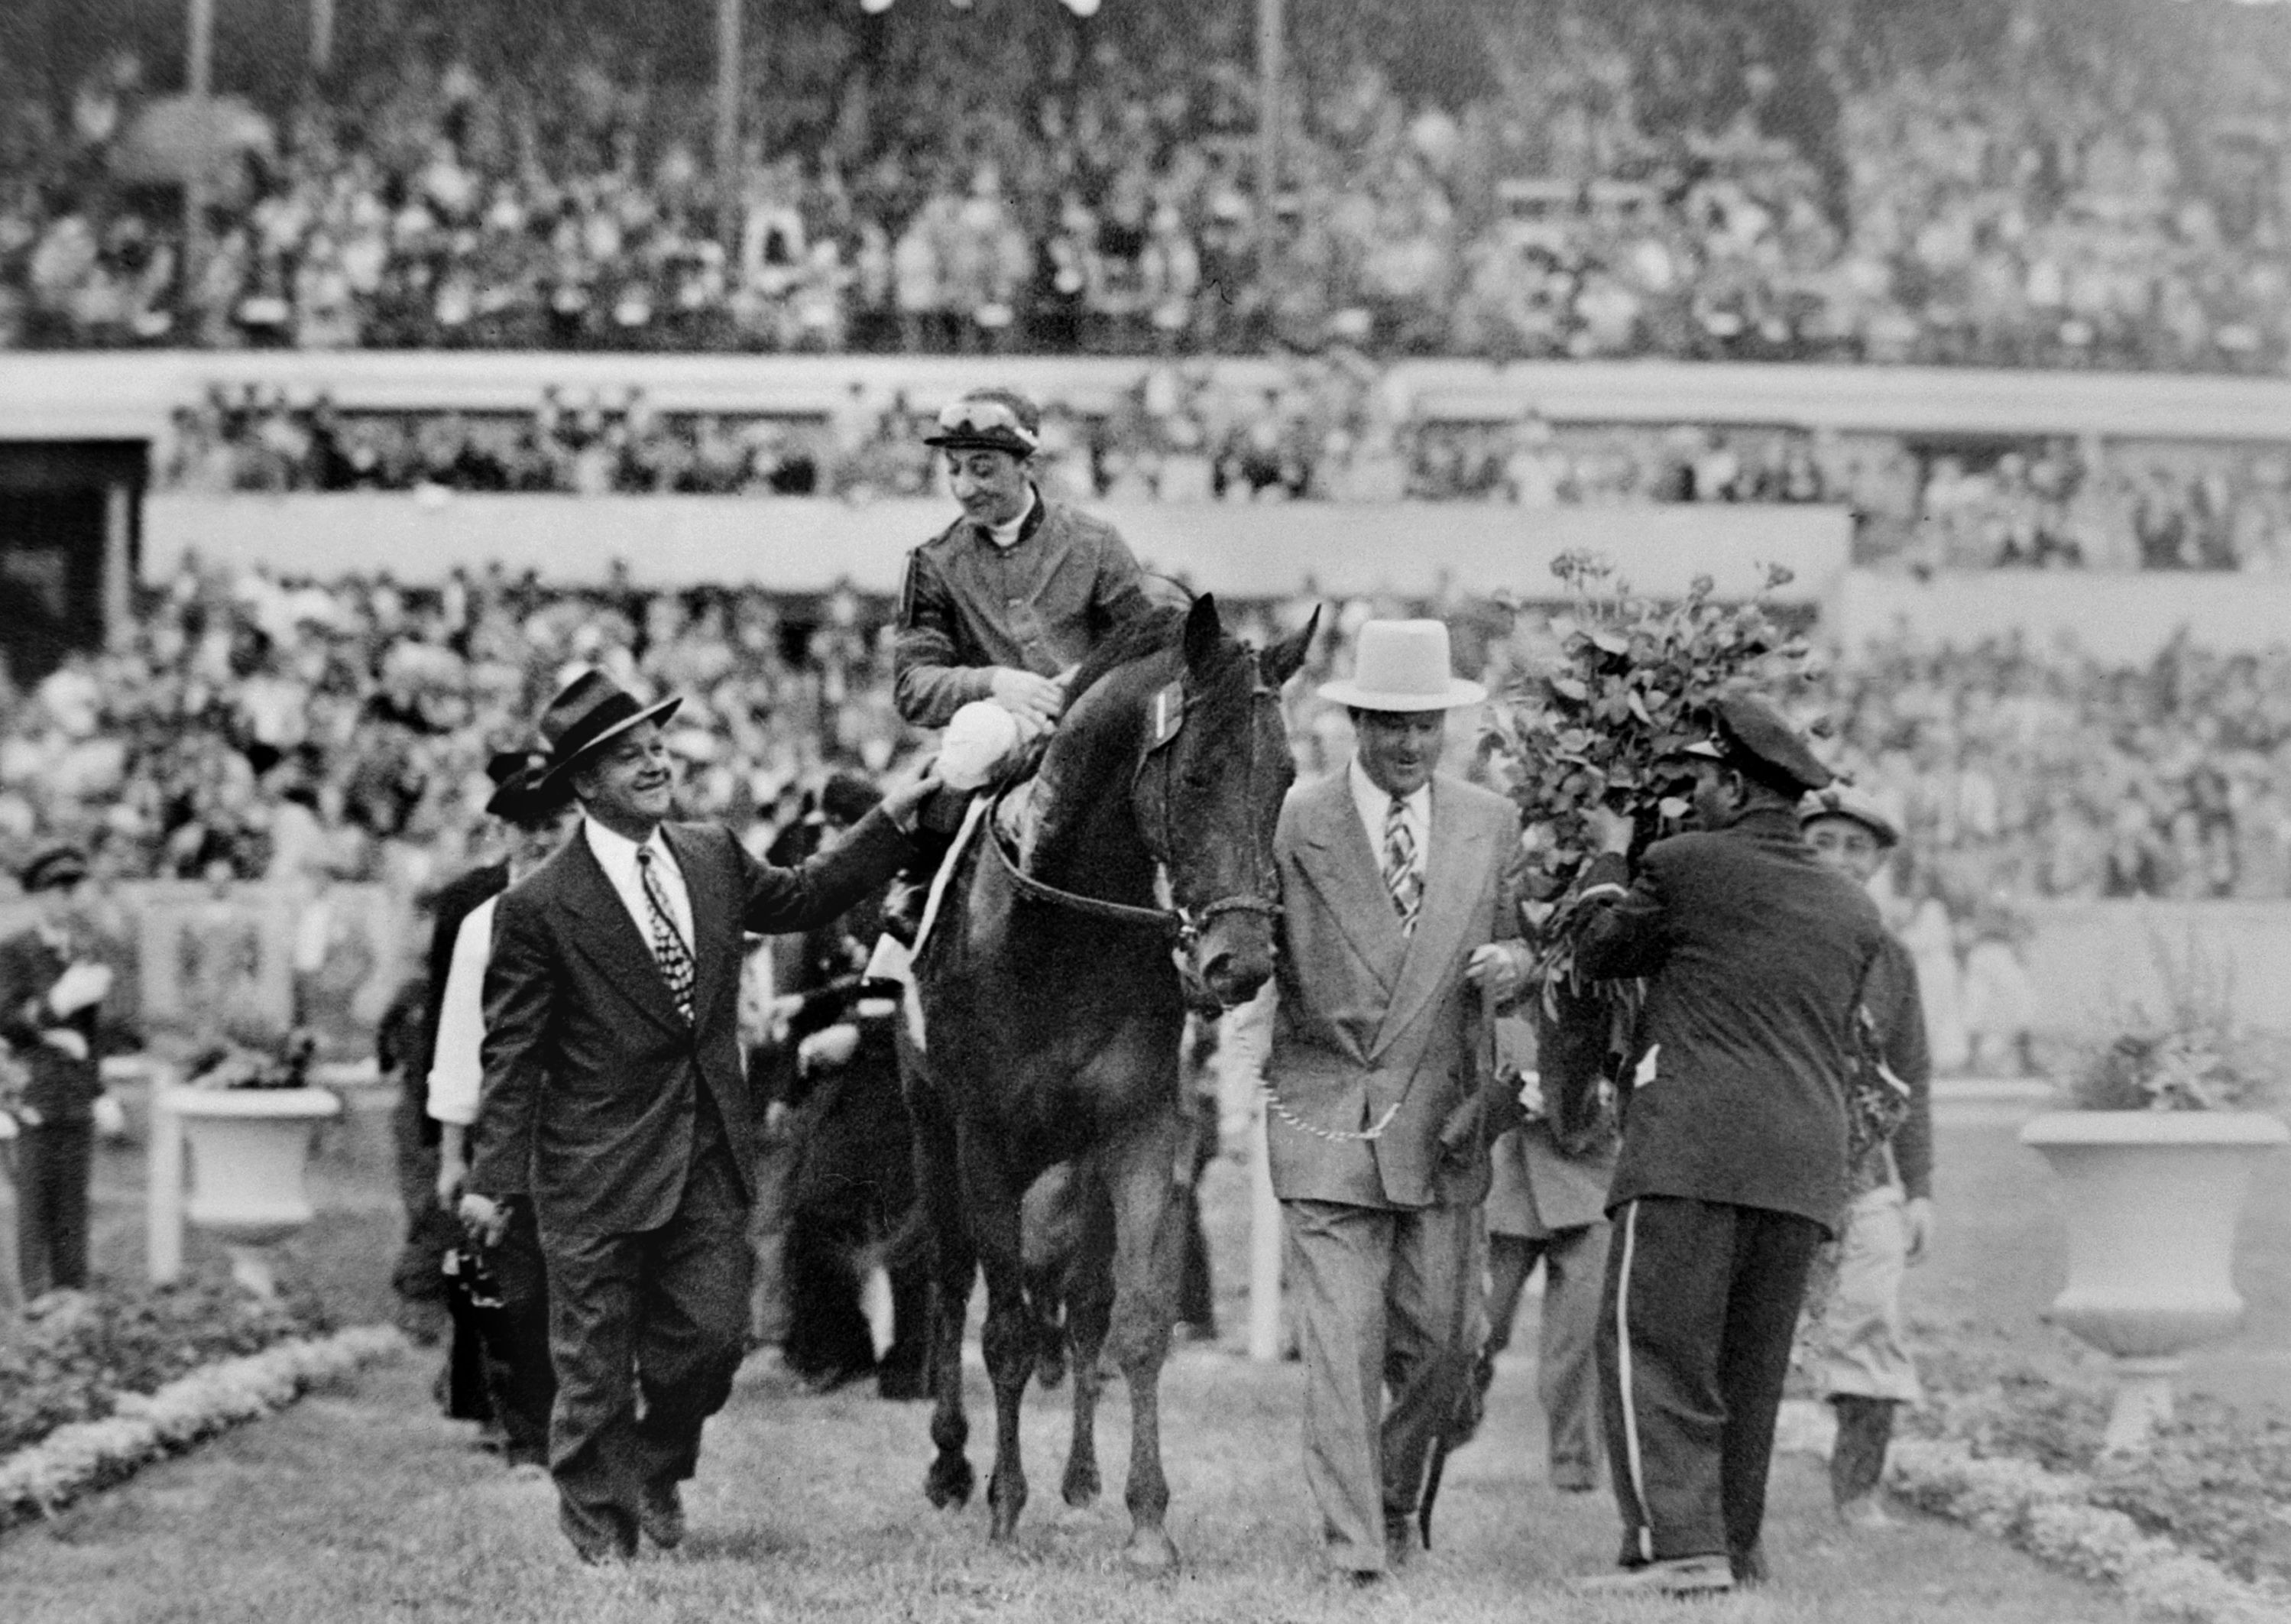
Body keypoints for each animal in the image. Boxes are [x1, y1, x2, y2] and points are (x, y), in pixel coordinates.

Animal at [902, 595, 1319, 1567]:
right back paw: (951, 1463)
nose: (1240, 962)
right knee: (948, 1278)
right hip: (930, 1131)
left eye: (1285, 776)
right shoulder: (985, 1140)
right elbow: (1005, 1330)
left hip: (1078, 1164)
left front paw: (1147, 1520)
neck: (1058, 936)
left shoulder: (1136, 1133)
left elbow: (1132, 1321)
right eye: (1197, 776)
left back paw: (1083, 1476)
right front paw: (1003, 1506)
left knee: (1085, 1303)